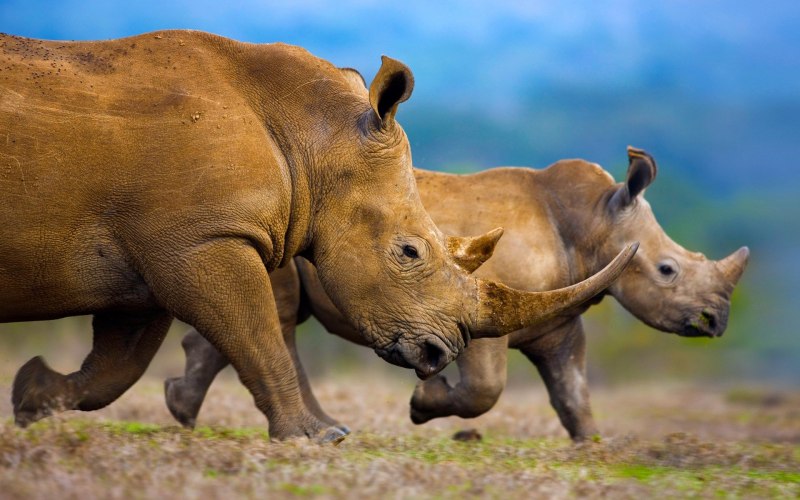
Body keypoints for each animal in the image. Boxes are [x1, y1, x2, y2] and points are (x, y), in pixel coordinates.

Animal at [0, 30, 637, 442]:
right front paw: (315, 441)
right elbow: (256, 334)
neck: (314, 136)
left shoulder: (157, 246)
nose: (441, 354)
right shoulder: (202, 240)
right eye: (409, 252)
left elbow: (116, 365)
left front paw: (33, 397)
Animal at [165, 147, 748, 440]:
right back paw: (322, 429)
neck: (593, 223)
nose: (716, 321)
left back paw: (182, 411)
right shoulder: (483, 307)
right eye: (668, 269)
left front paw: (592, 450)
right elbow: (486, 389)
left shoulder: (558, 321)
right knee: (278, 313)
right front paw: (423, 405)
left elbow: (573, 388)